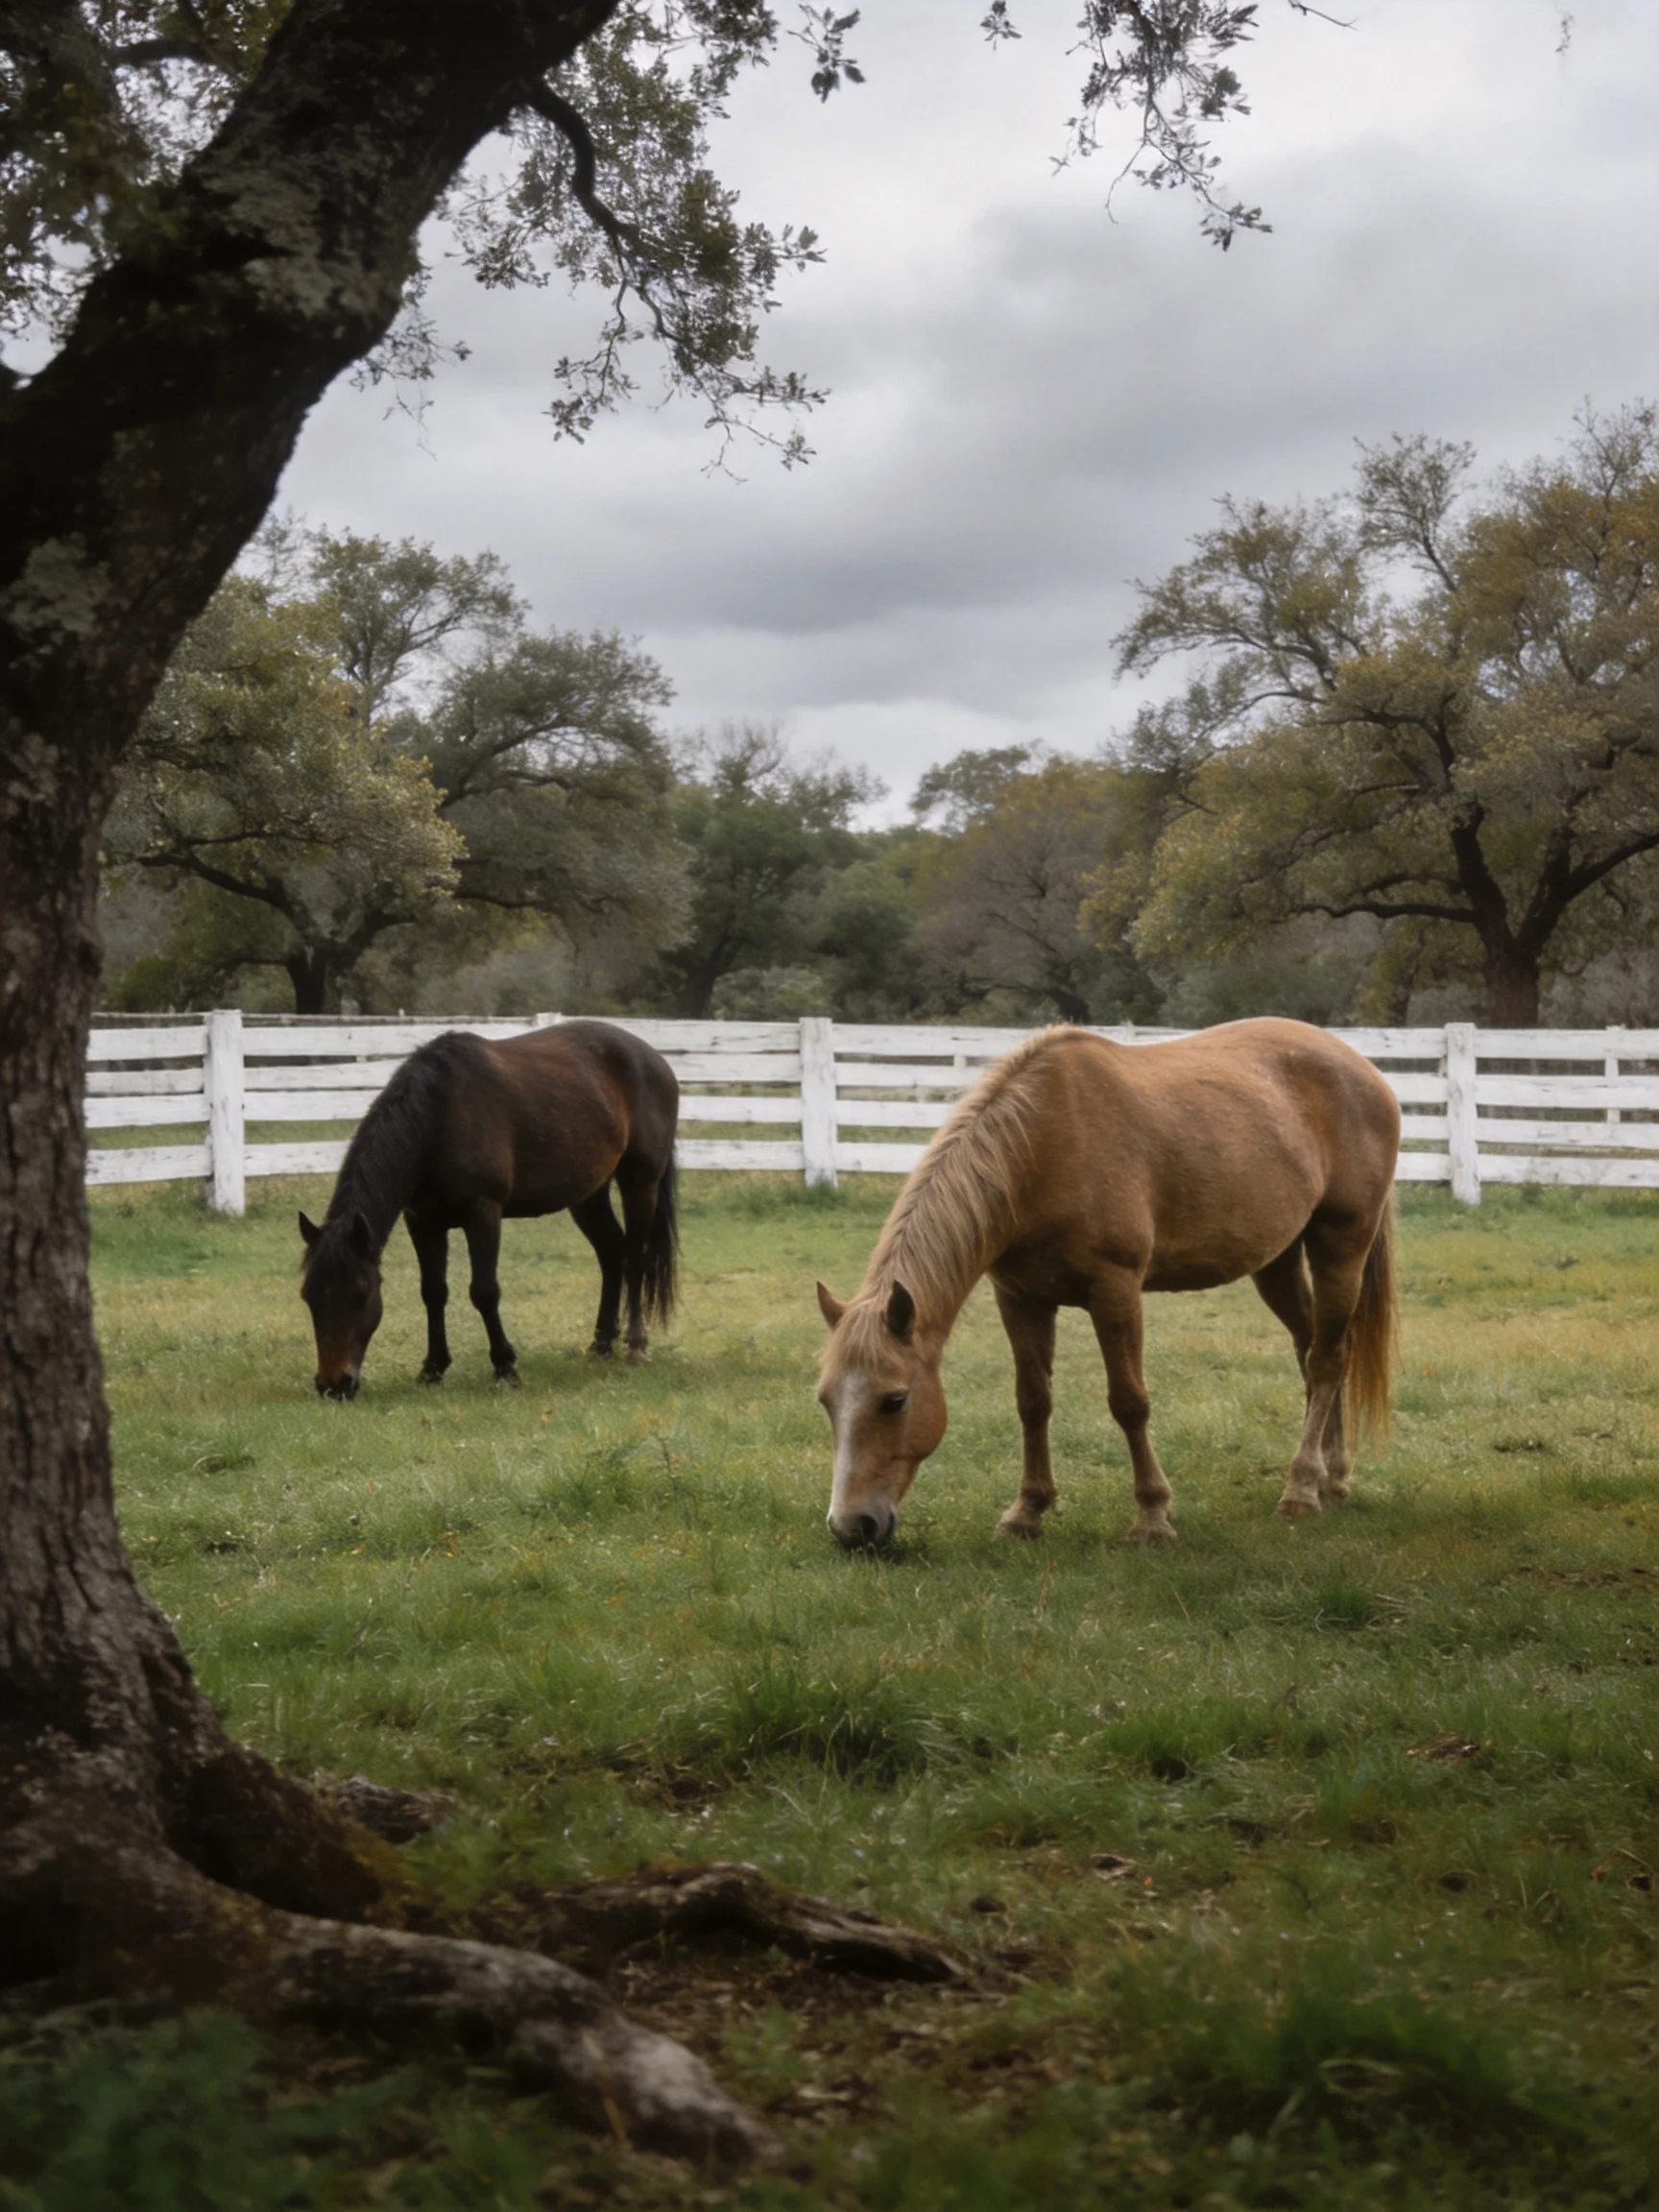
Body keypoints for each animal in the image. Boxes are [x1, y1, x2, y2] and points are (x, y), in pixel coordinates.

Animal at [298, 1020, 678, 1399]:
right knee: (612, 1254)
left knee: (634, 1258)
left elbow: (484, 1291)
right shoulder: (422, 1221)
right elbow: (433, 1292)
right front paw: (433, 1368)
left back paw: (636, 1345)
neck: (440, 1115)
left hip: (640, 1183)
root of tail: (655, 1059)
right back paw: (601, 1344)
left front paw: (505, 1367)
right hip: (588, 1194)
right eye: (308, 1296)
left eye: (361, 1294)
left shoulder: (483, 1214)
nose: (333, 1385)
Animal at [816, 1018, 1400, 1548]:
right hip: (1276, 1261)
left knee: (1327, 1361)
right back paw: (1332, 1479)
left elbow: (1129, 1401)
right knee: (1312, 1351)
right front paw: (1027, 1511)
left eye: (894, 1400)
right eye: (825, 1400)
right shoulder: (1020, 1299)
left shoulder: (1114, 1290)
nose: (852, 1528)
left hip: (1341, 1247)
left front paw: (1152, 1517)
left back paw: (1301, 1490)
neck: (1040, 1148)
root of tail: (1365, 1070)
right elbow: (1033, 1401)